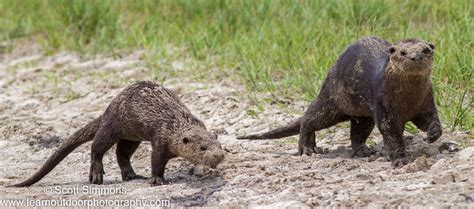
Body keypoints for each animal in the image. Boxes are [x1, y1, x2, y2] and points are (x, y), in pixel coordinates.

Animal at [10, 81, 226, 187]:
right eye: (202, 147)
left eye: (219, 146)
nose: (218, 156)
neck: (176, 125)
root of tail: (107, 110)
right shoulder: (160, 139)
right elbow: (156, 161)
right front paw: (157, 180)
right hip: (112, 127)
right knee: (97, 147)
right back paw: (96, 175)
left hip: (131, 136)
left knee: (121, 154)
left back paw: (131, 175)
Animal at [239, 36, 442, 167]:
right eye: (402, 52)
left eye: (425, 49)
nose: (416, 57)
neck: (407, 101)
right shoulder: (385, 109)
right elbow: (392, 135)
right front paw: (400, 160)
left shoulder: (426, 102)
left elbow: (430, 119)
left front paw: (433, 135)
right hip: (331, 103)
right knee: (309, 119)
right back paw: (307, 147)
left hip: (363, 115)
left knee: (358, 132)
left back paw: (363, 151)